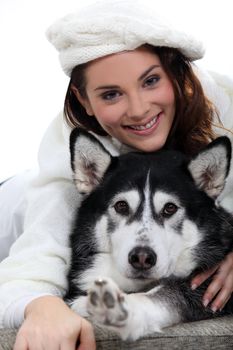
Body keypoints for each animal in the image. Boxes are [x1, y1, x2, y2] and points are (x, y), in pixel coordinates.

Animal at [64, 129, 233, 340]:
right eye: (121, 206)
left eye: (170, 208)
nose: (142, 258)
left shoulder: (205, 287)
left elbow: (165, 293)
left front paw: (120, 307)